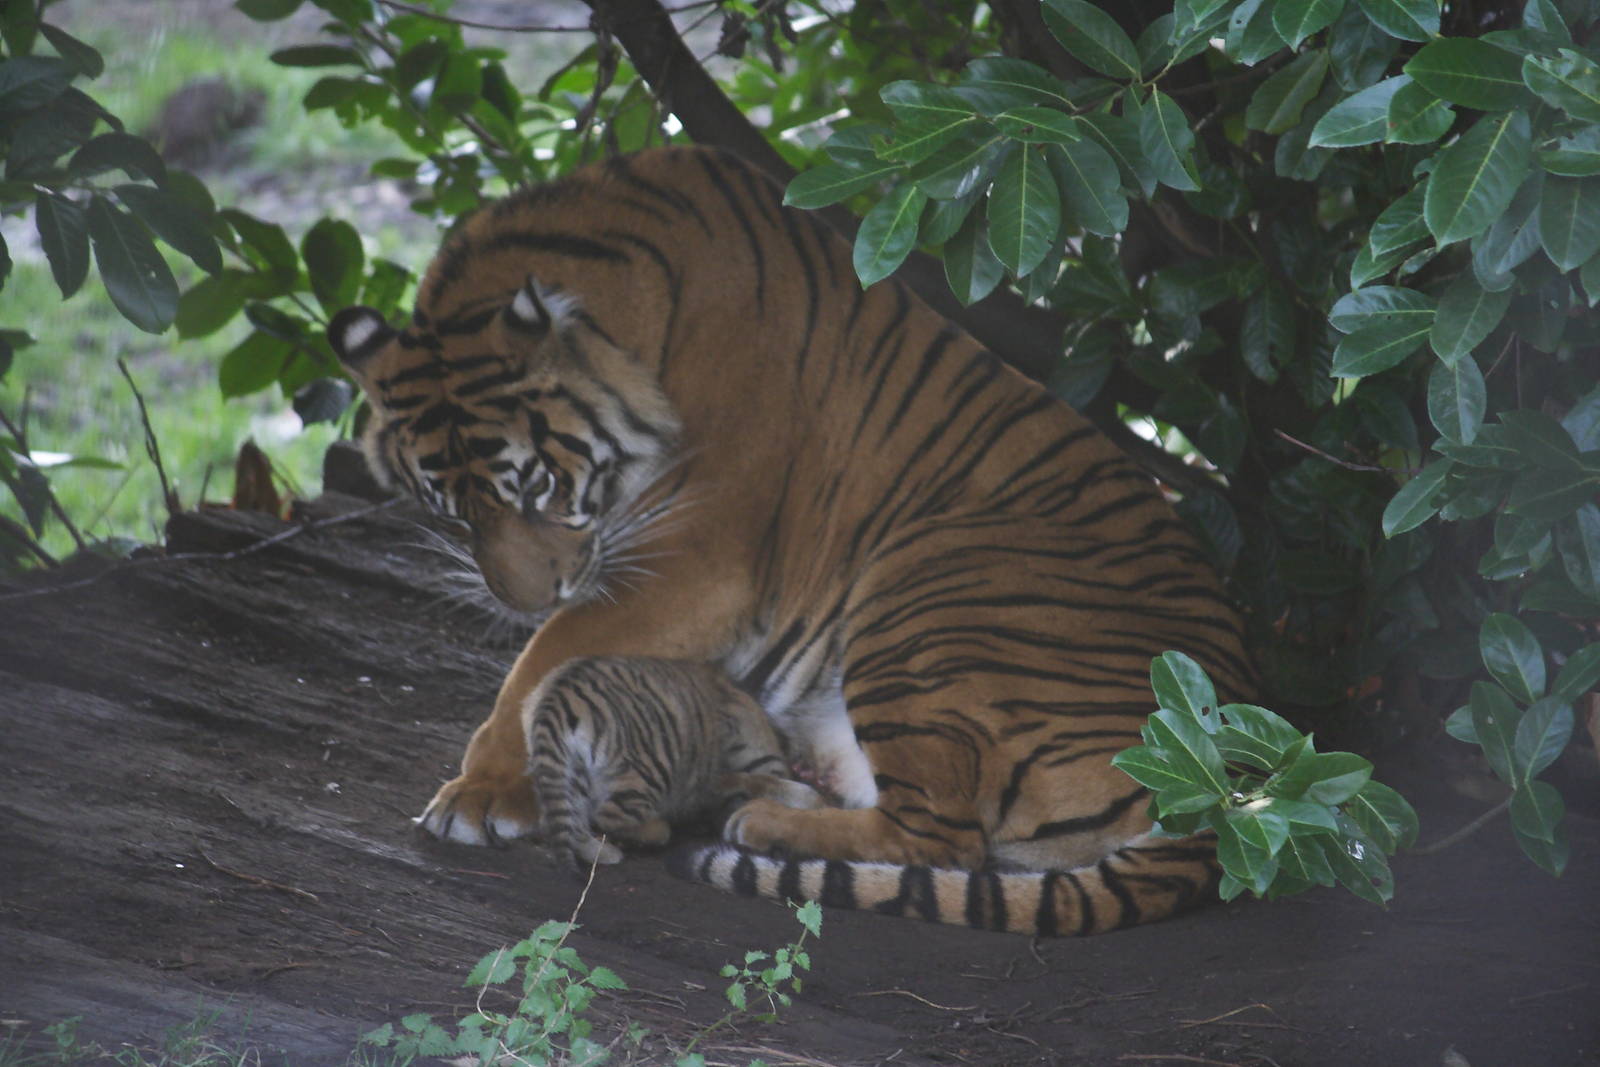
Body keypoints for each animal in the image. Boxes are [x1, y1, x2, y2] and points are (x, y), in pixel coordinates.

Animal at [525, 655, 822, 868]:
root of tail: (558, 694)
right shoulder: (722, 775)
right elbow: (765, 782)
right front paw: (806, 797)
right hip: (651, 768)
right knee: (609, 815)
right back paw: (652, 833)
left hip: (567, 771)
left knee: (565, 821)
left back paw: (601, 851)